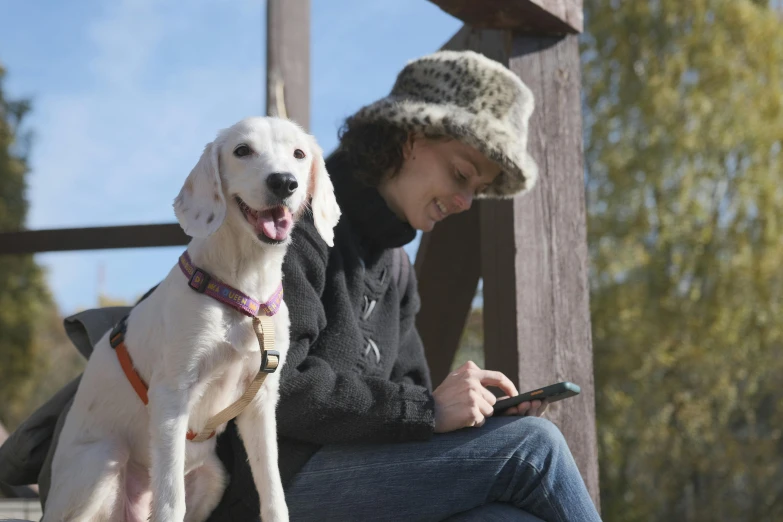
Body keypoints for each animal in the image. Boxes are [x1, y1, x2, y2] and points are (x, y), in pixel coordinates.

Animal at [43, 116, 342, 516]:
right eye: (242, 151)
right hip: (102, 463)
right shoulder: (172, 396)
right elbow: (171, 505)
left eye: (299, 154)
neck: (243, 291)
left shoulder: (261, 403)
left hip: (213, 477)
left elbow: (273, 495)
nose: (283, 182)